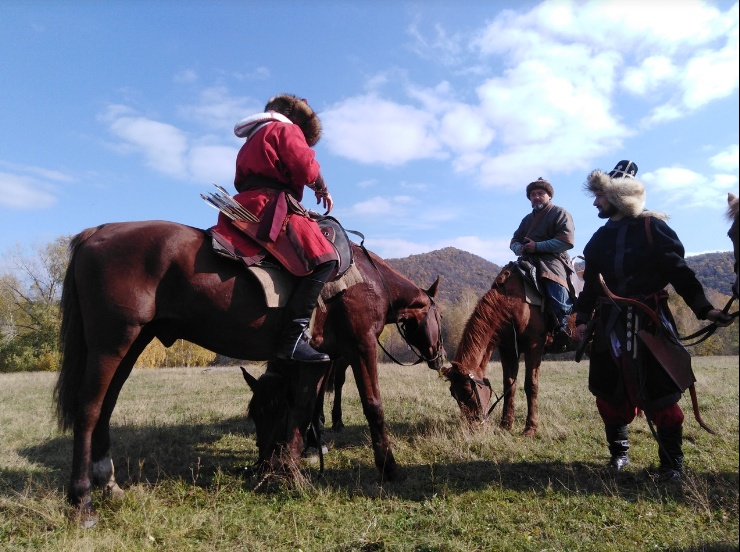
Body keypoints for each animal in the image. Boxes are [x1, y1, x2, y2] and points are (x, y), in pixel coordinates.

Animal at [56, 220, 446, 520]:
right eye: (440, 316)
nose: (439, 356)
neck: (368, 277)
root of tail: (97, 231)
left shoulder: (317, 357)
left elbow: (303, 409)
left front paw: (291, 470)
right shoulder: (362, 346)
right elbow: (372, 406)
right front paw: (388, 467)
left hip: (131, 344)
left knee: (106, 407)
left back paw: (108, 484)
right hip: (111, 344)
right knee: (89, 409)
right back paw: (82, 499)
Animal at [440, 264, 580, 436]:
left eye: (468, 392)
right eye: (453, 394)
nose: (473, 428)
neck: (511, 304)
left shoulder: (534, 348)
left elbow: (531, 386)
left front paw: (530, 428)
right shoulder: (508, 350)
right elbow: (509, 385)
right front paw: (506, 424)